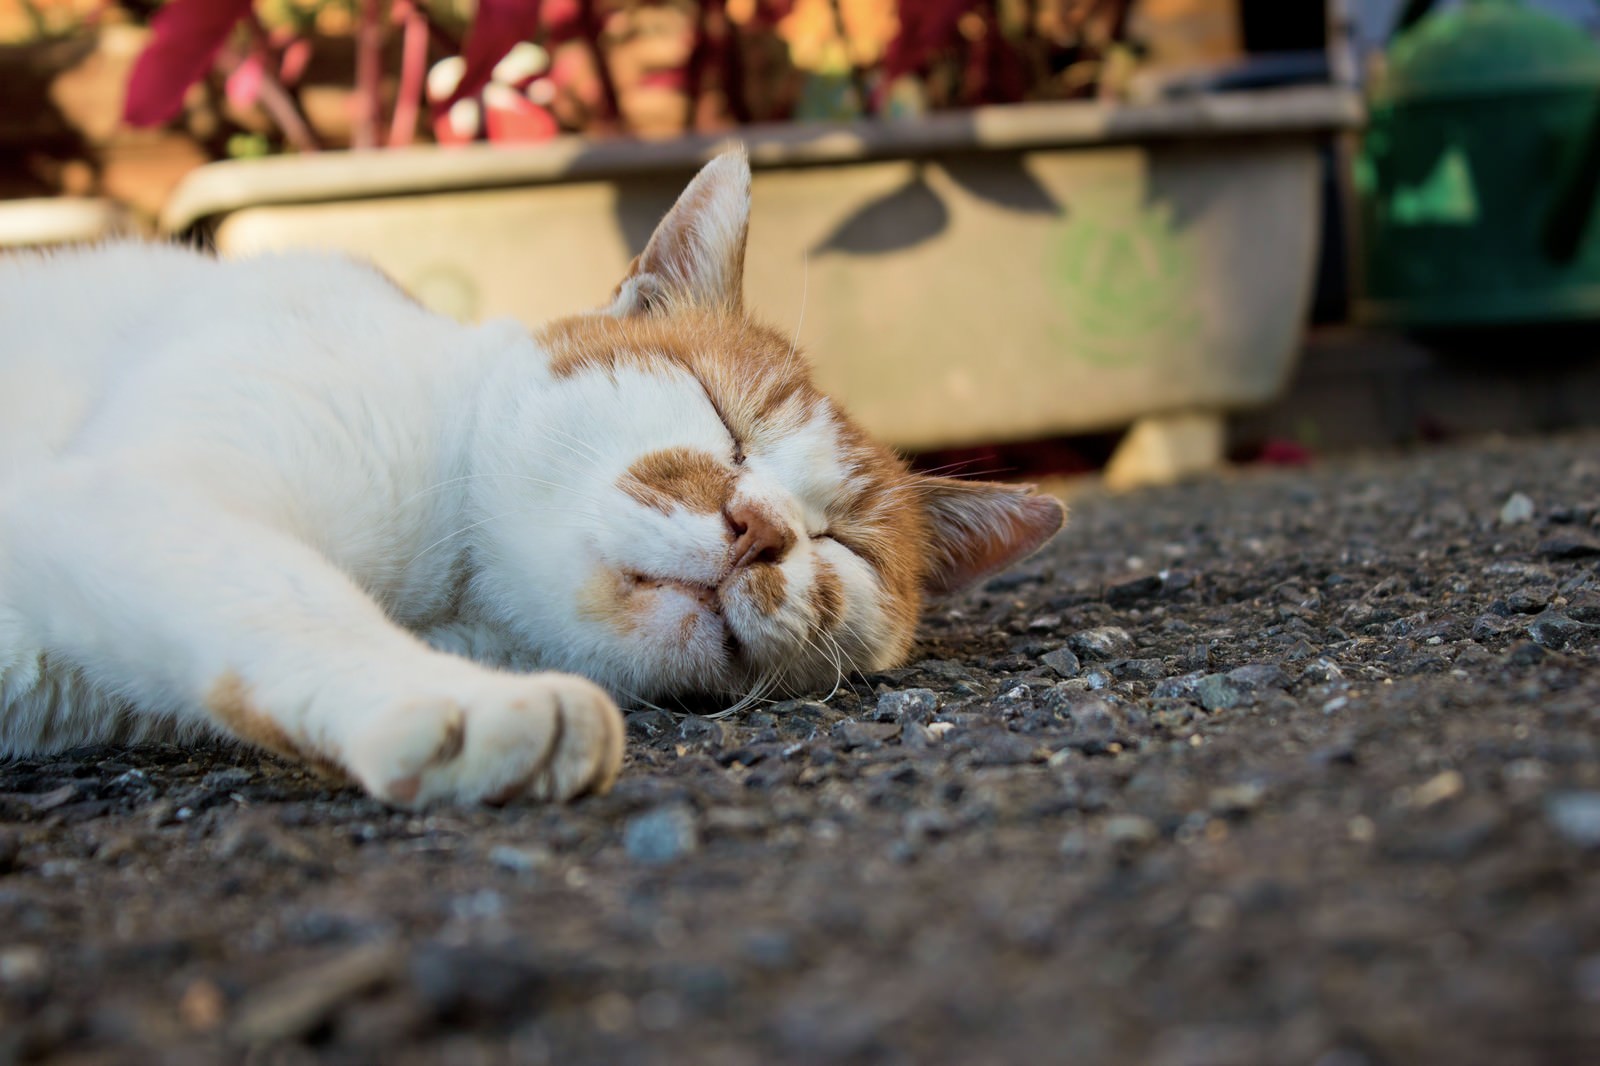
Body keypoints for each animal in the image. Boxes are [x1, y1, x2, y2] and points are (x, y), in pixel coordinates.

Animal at [0, 145, 1062, 800]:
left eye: (841, 544)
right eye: (724, 420)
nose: (761, 530)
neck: (453, 596)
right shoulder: (139, 495)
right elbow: (289, 595)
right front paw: (459, 705)